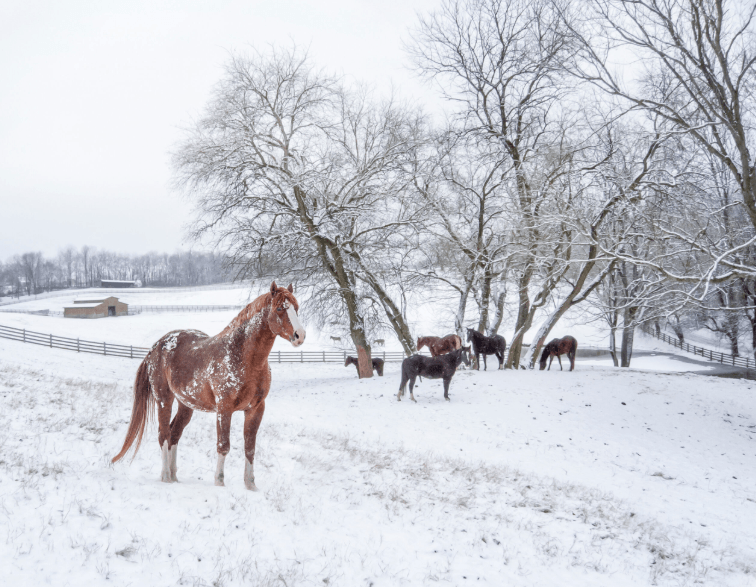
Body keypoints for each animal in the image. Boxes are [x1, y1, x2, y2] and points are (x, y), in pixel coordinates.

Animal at [111, 281, 306, 491]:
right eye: (279, 308)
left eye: (296, 308)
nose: (300, 335)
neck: (242, 356)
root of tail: (156, 347)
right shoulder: (224, 408)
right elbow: (223, 445)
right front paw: (219, 482)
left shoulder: (255, 409)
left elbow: (250, 448)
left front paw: (250, 485)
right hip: (164, 399)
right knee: (163, 434)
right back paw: (165, 477)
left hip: (185, 405)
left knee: (174, 434)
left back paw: (174, 476)